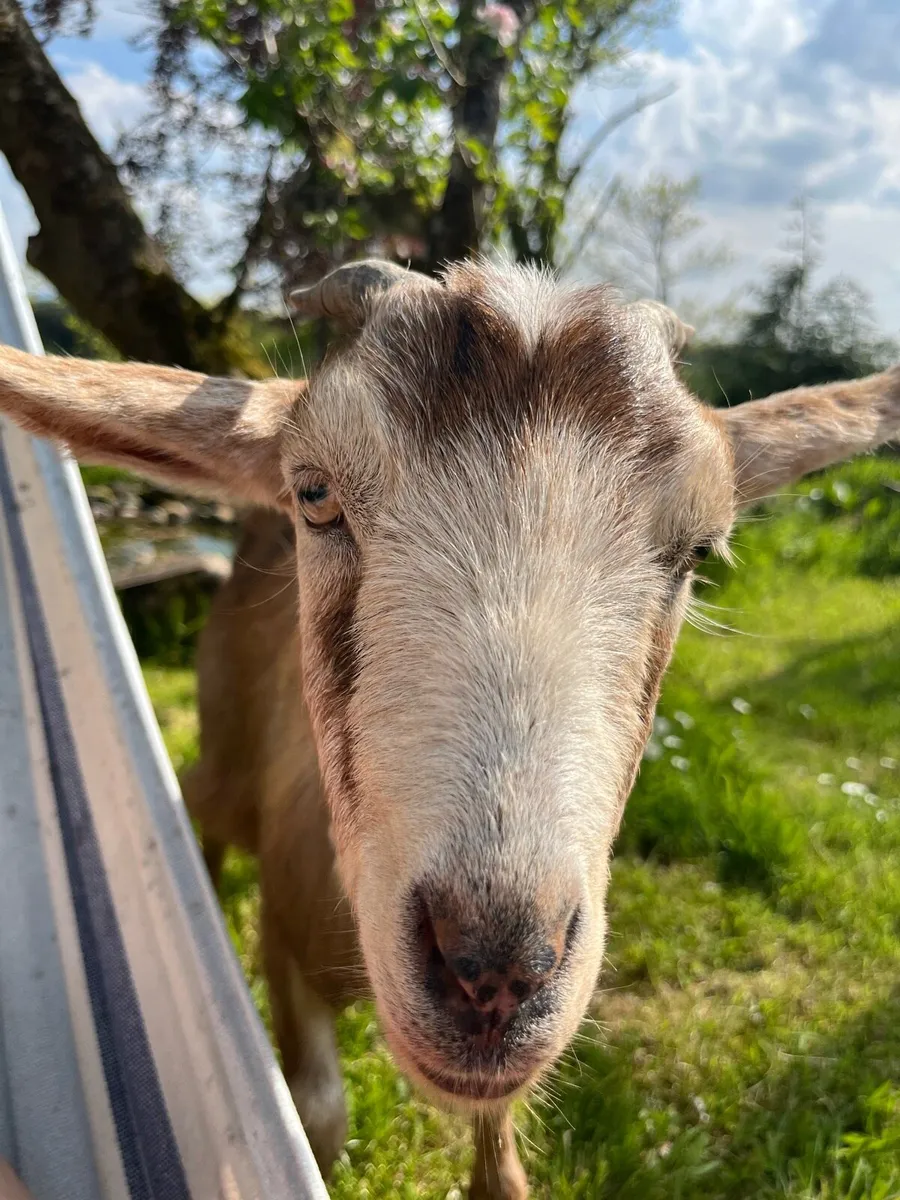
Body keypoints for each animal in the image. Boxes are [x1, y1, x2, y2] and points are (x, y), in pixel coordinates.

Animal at [1, 259, 898, 1199]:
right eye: (315, 493)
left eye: (699, 550)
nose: (494, 966)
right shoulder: (284, 938)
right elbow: (319, 1113)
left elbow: (499, 1161)